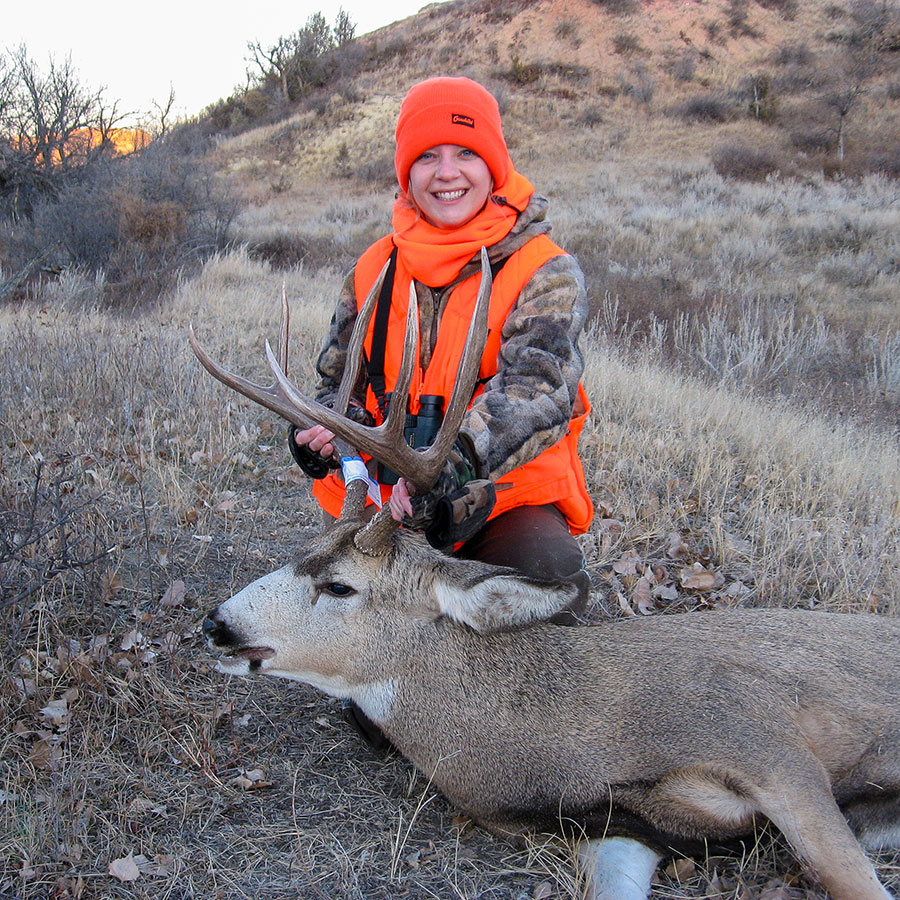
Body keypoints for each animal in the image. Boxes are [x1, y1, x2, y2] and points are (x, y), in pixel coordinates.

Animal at [191, 250, 900, 900]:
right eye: (302, 549)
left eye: (340, 585)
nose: (215, 623)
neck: (567, 735)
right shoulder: (619, 828)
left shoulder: (770, 745)